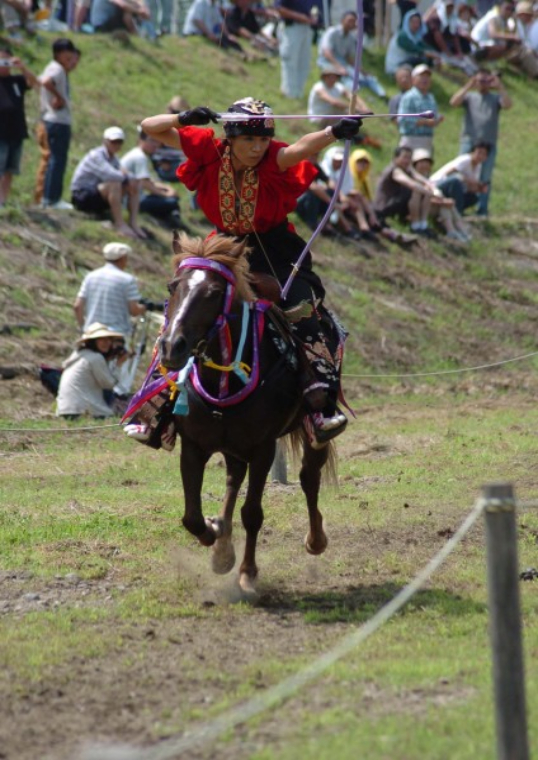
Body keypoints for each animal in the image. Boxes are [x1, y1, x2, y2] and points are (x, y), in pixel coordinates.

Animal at [158, 232, 336, 592]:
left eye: (214, 293)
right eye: (173, 286)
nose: (172, 347)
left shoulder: (262, 449)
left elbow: (252, 512)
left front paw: (248, 573)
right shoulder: (194, 446)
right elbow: (191, 517)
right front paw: (215, 537)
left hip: (313, 429)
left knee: (309, 477)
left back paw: (316, 539)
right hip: (232, 445)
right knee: (233, 478)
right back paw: (222, 547)